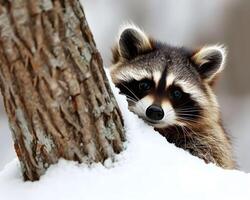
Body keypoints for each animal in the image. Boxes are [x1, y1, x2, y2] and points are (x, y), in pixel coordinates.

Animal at [109, 24, 234, 170]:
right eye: (144, 85)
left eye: (176, 93)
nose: (155, 111)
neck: (161, 128)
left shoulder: (211, 136)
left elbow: (211, 153)